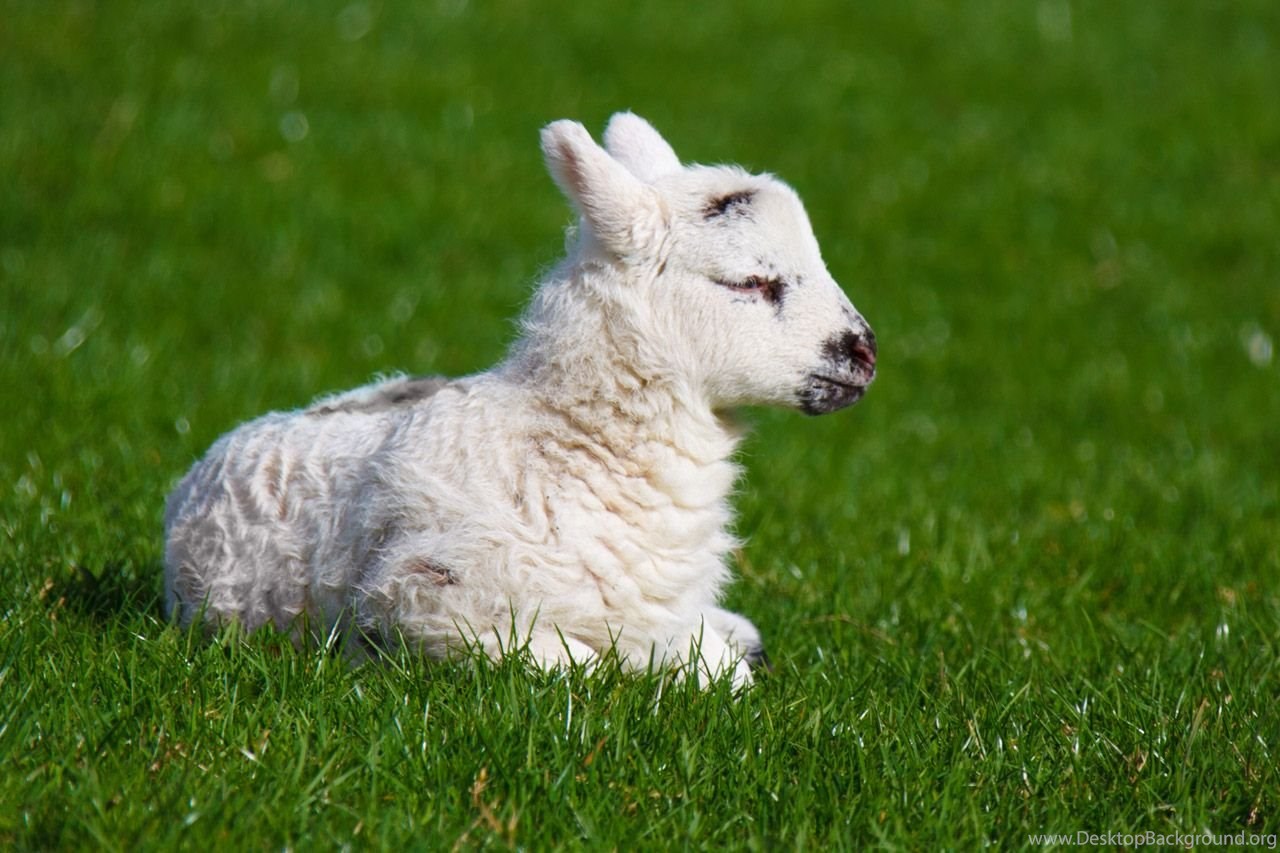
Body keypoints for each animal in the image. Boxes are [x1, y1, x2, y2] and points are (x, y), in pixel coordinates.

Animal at [164, 112, 877, 689]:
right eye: (750, 282)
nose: (865, 352)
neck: (570, 445)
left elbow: (712, 667)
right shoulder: (423, 604)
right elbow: (577, 665)